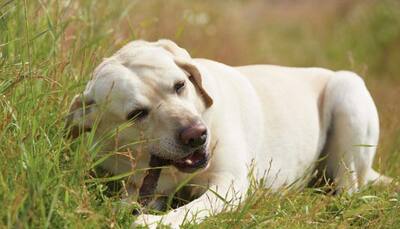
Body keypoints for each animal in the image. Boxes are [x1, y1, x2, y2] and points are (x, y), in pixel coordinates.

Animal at [67, 39, 392, 227]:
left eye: (179, 85)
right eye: (137, 114)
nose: (197, 135)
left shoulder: (229, 184)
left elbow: (187, 211)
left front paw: (152, 222)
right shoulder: (141, 187)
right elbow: (126, 201)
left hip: (347, 89)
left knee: (348, 187)